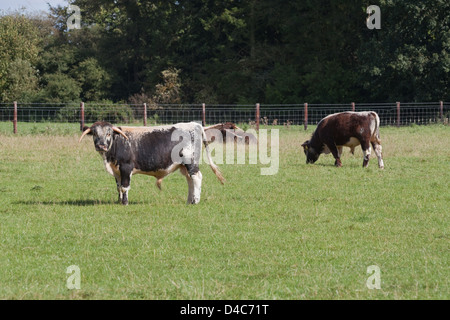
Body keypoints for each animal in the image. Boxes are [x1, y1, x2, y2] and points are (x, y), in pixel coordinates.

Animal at [79, 120, 225, 205]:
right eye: (94, 134)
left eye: (109, 134)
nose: (101, 145)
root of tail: (195, 124)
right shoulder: (116, 171)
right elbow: (119, 187)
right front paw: (119, 201)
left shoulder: (126, 167)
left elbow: (125, 186)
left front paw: (125, 202)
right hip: (183, 165)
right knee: (190, 180)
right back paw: (190, 200)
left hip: (191, 162)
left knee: (196, 177)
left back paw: (196, 201)